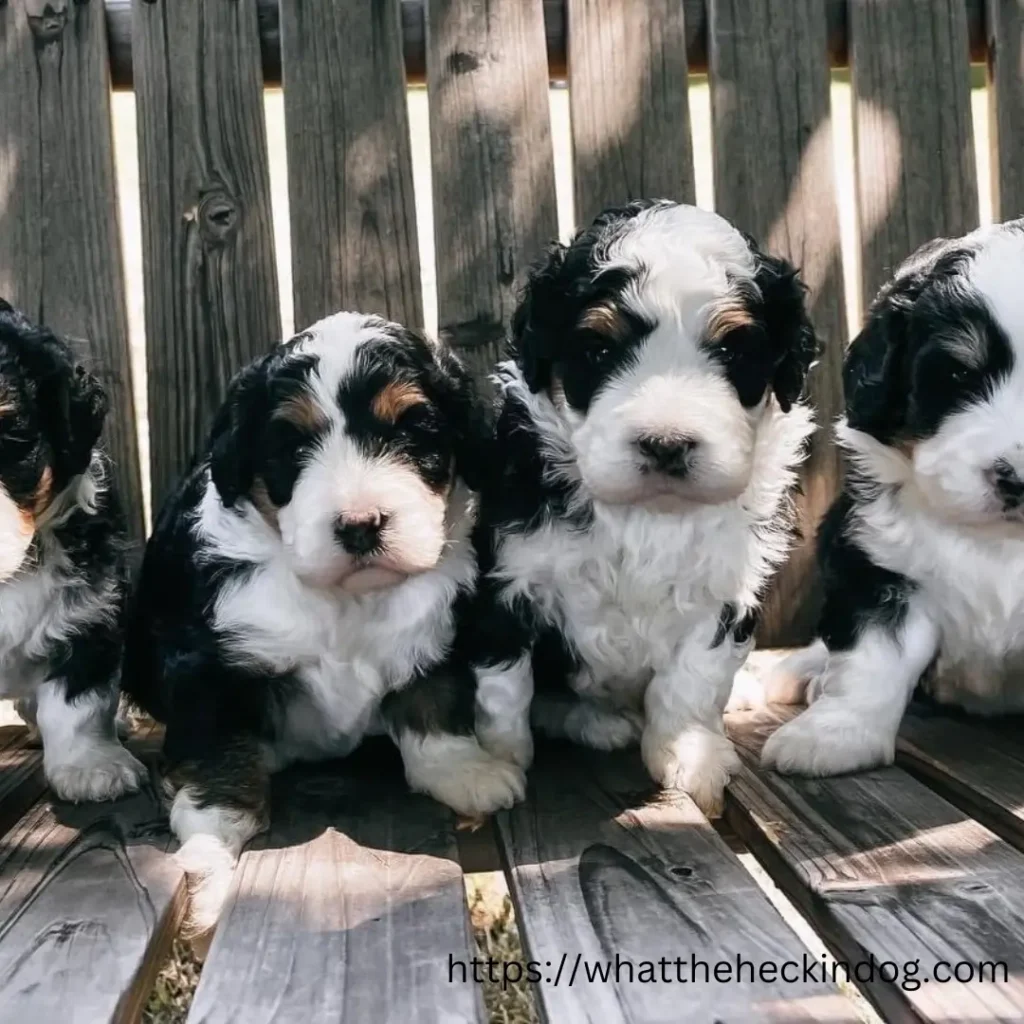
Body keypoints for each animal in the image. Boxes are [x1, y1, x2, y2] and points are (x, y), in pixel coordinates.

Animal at [123, 309, 524, 929]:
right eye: (292, 448)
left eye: (412, 432)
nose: (360, 525)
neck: (344, 598)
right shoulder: (210, 667)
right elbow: (220, 760)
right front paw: (209, 859)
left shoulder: (432, 633)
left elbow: (431, 701)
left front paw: (464, 771)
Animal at [468, 197, 819, 815]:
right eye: (599, 350)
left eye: (731, 351)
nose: (666, 444)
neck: (650, 514)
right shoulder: (509, 577)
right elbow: (506, 685)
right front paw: (499, 759)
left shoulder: (725, 591)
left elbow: (691, 681)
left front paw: (689, 755)